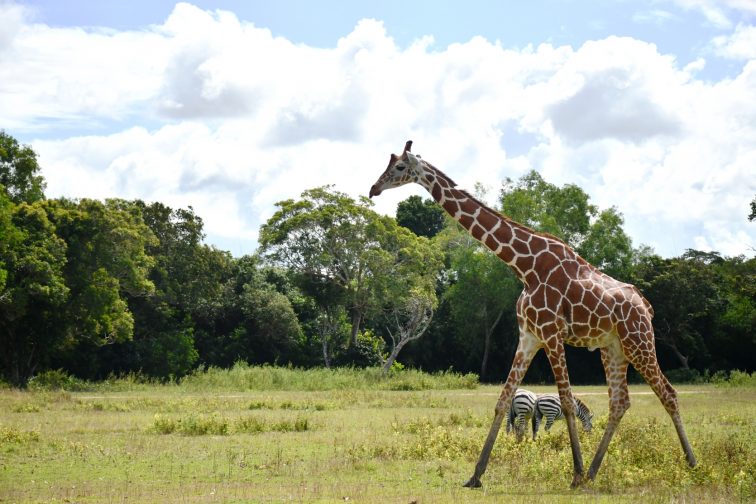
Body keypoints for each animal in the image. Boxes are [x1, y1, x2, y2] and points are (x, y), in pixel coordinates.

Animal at [368, 140, 696, 486]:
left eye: (399, 167)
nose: (374, 189)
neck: (524, 266)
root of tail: (646, 306)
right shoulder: (528, 336)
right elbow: (502, 400)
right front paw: (476, 475)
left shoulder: (551, 334)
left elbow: (566, 401)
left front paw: (575, 474)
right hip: (613, 348)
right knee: (620, 402)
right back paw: (595, 472)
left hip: (639, 341)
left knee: (668, 393)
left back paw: (691, 464)